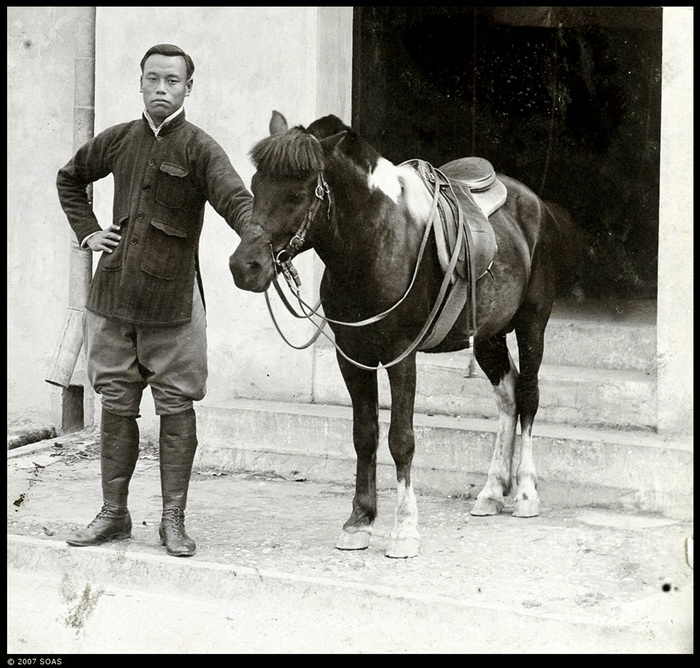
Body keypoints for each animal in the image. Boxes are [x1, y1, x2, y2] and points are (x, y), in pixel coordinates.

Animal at [230, 111, 576, 560]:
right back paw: (491, 491)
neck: (373, 246)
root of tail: (537, 205)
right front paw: (359, 522)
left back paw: (525, 494)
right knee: (508, 397)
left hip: (532, 323)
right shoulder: (352, 356)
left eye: (299, 193)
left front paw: (405, 529)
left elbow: (402, 439)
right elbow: (364, 436)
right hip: (489, 334)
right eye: (256, 185)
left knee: (530, 396)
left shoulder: (400, 354)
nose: (245, 266)